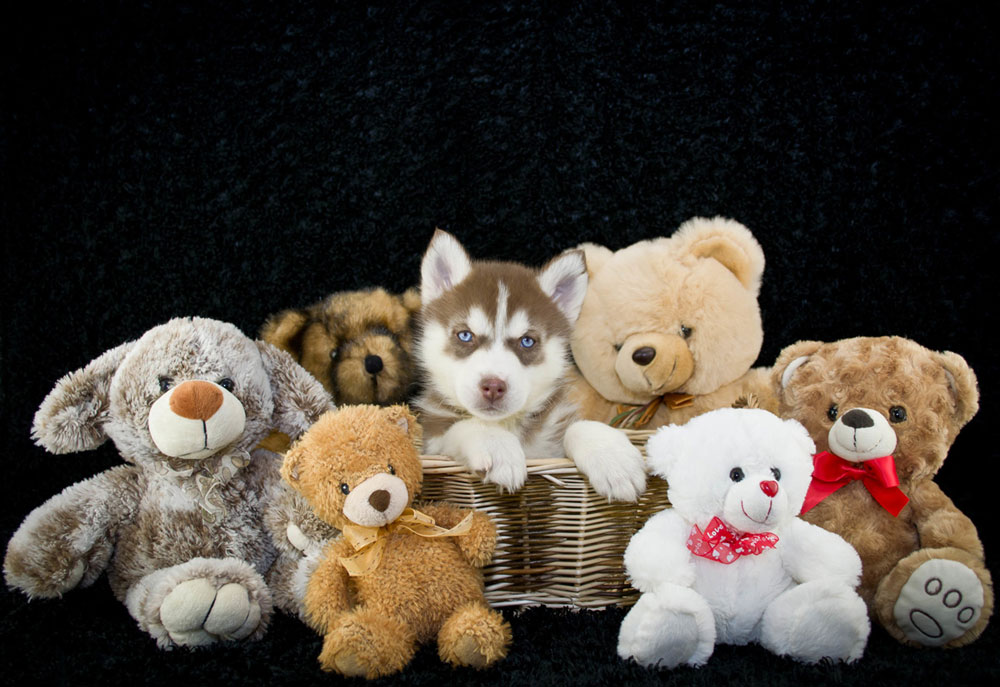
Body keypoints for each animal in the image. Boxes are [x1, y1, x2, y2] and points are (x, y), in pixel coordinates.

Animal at [410, 228, 644, 502]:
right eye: (465, 335)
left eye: (527, 341)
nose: (493, 386)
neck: (508, 424)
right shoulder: (432, 441)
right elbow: (467, 424)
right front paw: (498, 448)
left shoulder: (550, 444)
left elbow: (578, 426)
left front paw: (613, 459)